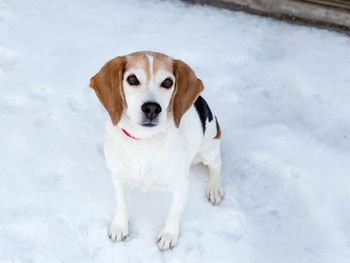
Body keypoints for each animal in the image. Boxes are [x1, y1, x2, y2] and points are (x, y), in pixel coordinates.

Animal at [89, 50, 223, 251]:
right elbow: (122, 204)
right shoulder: (118, 177)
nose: (151, 108)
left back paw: (214, 188)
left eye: (167, 82)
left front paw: (169, 234)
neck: (144, 140)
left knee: (216, 165)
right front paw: (120, 226)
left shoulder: (181, 185)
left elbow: (174, 212)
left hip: (209, 149)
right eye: (132, 79)